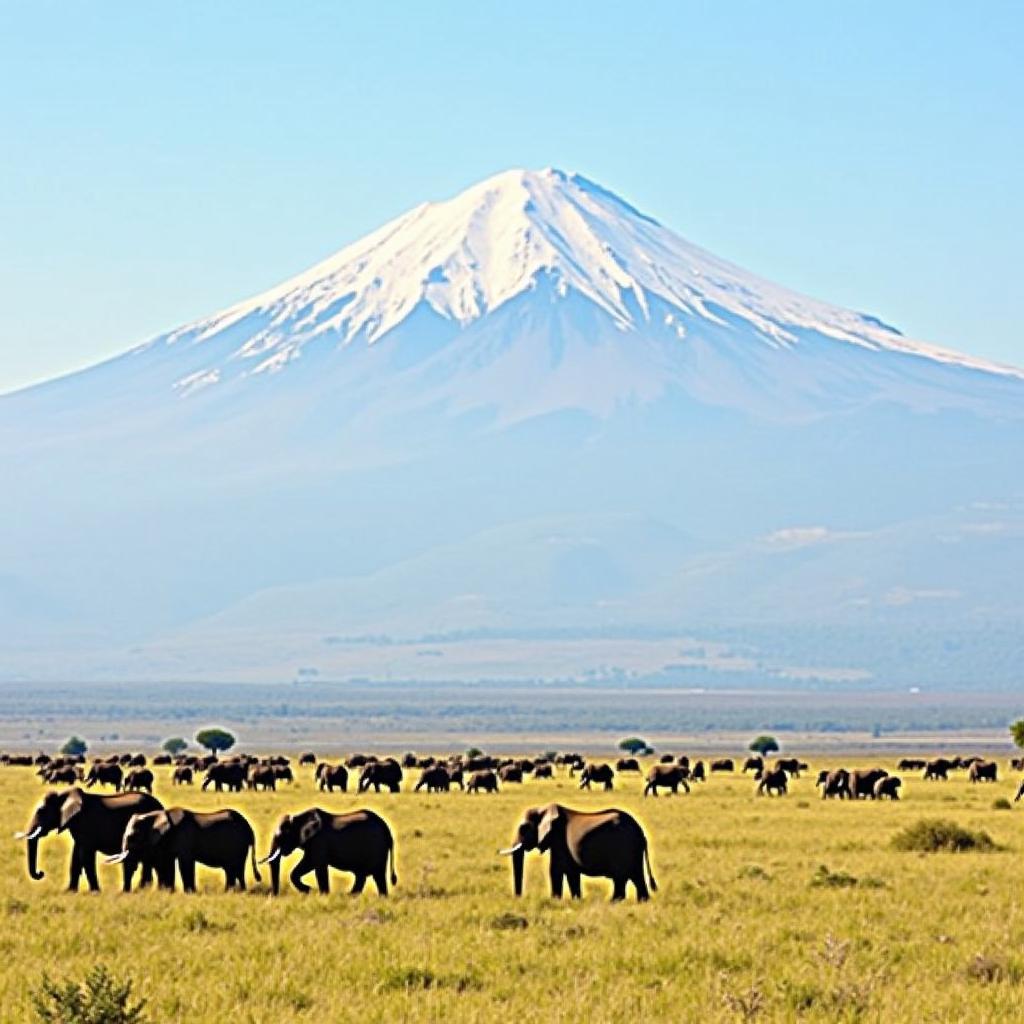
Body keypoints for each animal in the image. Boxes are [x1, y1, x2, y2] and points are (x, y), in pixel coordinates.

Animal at [16, 786, 160, 892]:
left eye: (41, 811)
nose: (41, 873)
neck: (65, 795)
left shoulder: (85, 825)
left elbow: (85, 856)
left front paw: (95, 892)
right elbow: (76, 856)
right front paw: (69, 892)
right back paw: (142, 890)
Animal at [106, 806, 260, 888]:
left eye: (132, 837)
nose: (126, 892)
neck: (156, 816)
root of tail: (250, 829)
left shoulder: (183, 838)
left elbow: (184, 864)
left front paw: (190, 893)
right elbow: (167, 864)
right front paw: (168, 892)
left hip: (239, 845)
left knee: (237, 868)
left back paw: (239, 891)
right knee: (231, 869)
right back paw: (231, 891)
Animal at [260, 806, 395, 897]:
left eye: (280, 837)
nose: (274, 896)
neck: (299, 818)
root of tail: (387, 828)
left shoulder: (319, 841)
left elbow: (316, 866)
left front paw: (317, 893)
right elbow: (310, 865)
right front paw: (310, 891)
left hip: (377, 849)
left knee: (376, 875)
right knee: (365, 876)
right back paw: (354, 897)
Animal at [501, 802, 659, 901]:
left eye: (523, 828)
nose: (519, 898)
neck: (543, 808)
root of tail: (641, 832)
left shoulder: (558, 839)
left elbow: (556, 870)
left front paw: (555, 900)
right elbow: (572, 873)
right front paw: (576, 900)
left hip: (624, 848)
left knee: (622, 877)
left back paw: (613, 902)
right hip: (632, 850)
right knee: (635, 876)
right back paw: (640, 902)